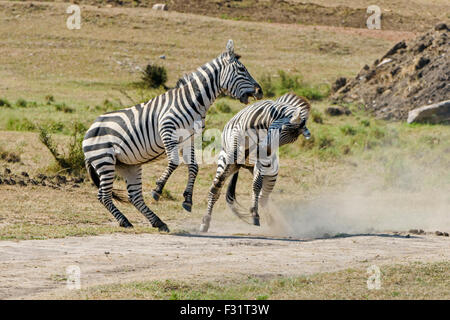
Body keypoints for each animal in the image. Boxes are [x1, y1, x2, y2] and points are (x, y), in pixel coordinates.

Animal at [82, 39, 262, 232]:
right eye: (241, 69)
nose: (260, 91)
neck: (194, 101)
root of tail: (91, 127)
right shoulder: (167, 129)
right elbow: (175, 162)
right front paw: (158, 189)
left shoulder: (190, 139)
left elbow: (194, 167)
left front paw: (187, 199)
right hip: (104, 160)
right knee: (103, 195)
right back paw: (125, 221)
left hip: (129, 165)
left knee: (134, 196)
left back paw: (157, 222)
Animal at [199, 93, 312, 232]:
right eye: (281, 130)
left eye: (289, 141)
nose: (266, 151)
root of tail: (243, 165)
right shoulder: (236, 141)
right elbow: (218, 183)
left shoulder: (263, 161)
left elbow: (256, 186)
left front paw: (254, 213)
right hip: (228, 161)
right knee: (216, 187)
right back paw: (206, 221)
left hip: (270, 172)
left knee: (263, 196)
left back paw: (273, 223)